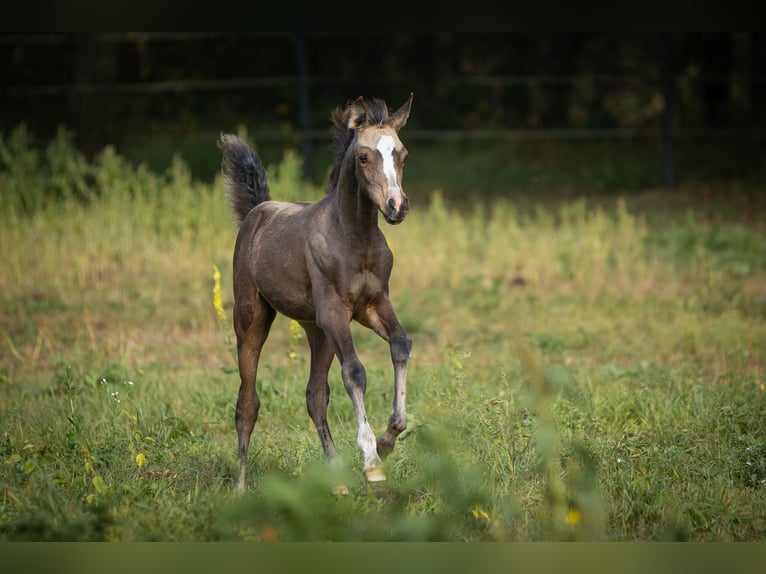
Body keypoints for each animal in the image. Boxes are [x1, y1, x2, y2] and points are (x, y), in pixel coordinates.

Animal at [219, 94, 416, 496]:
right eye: (364, 157)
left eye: (402, 154)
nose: (396, 206)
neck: (355, 239)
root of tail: (256, 212)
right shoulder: (335, 312)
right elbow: (355, 371)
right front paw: (372, 461)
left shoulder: (373, 306)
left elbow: (401, 345)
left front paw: (388, 439)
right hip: (253, 319)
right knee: (247, 402)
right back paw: (241, 488)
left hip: (317, 331)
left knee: (315, 396)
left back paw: (337, 479)